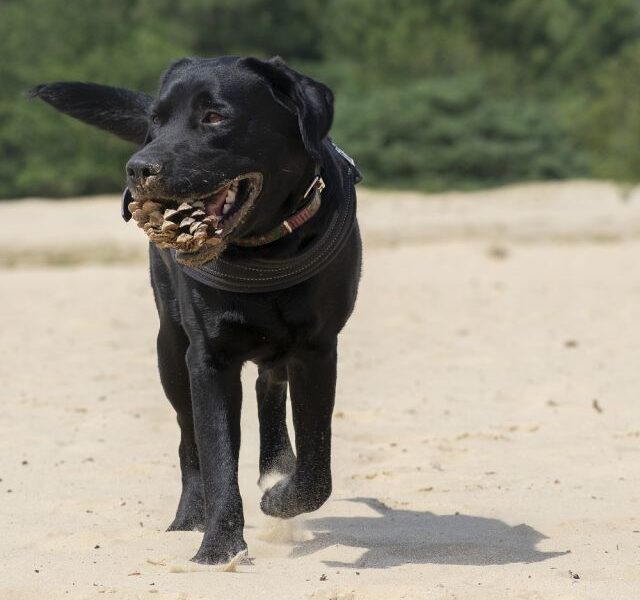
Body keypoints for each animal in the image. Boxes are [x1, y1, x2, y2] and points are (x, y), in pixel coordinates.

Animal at [31, 55, 360, 564]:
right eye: (156, 120)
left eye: (214, 116)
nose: (138, 168)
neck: (265, 250)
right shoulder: (207, 359)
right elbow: (217, 453)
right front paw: (219, 547)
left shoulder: (318, 350)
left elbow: (315, 467)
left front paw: (279, 497)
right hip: (170, 350)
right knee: (189, 442)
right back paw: (189, 517)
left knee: (269, 385)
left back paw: (275, 467)